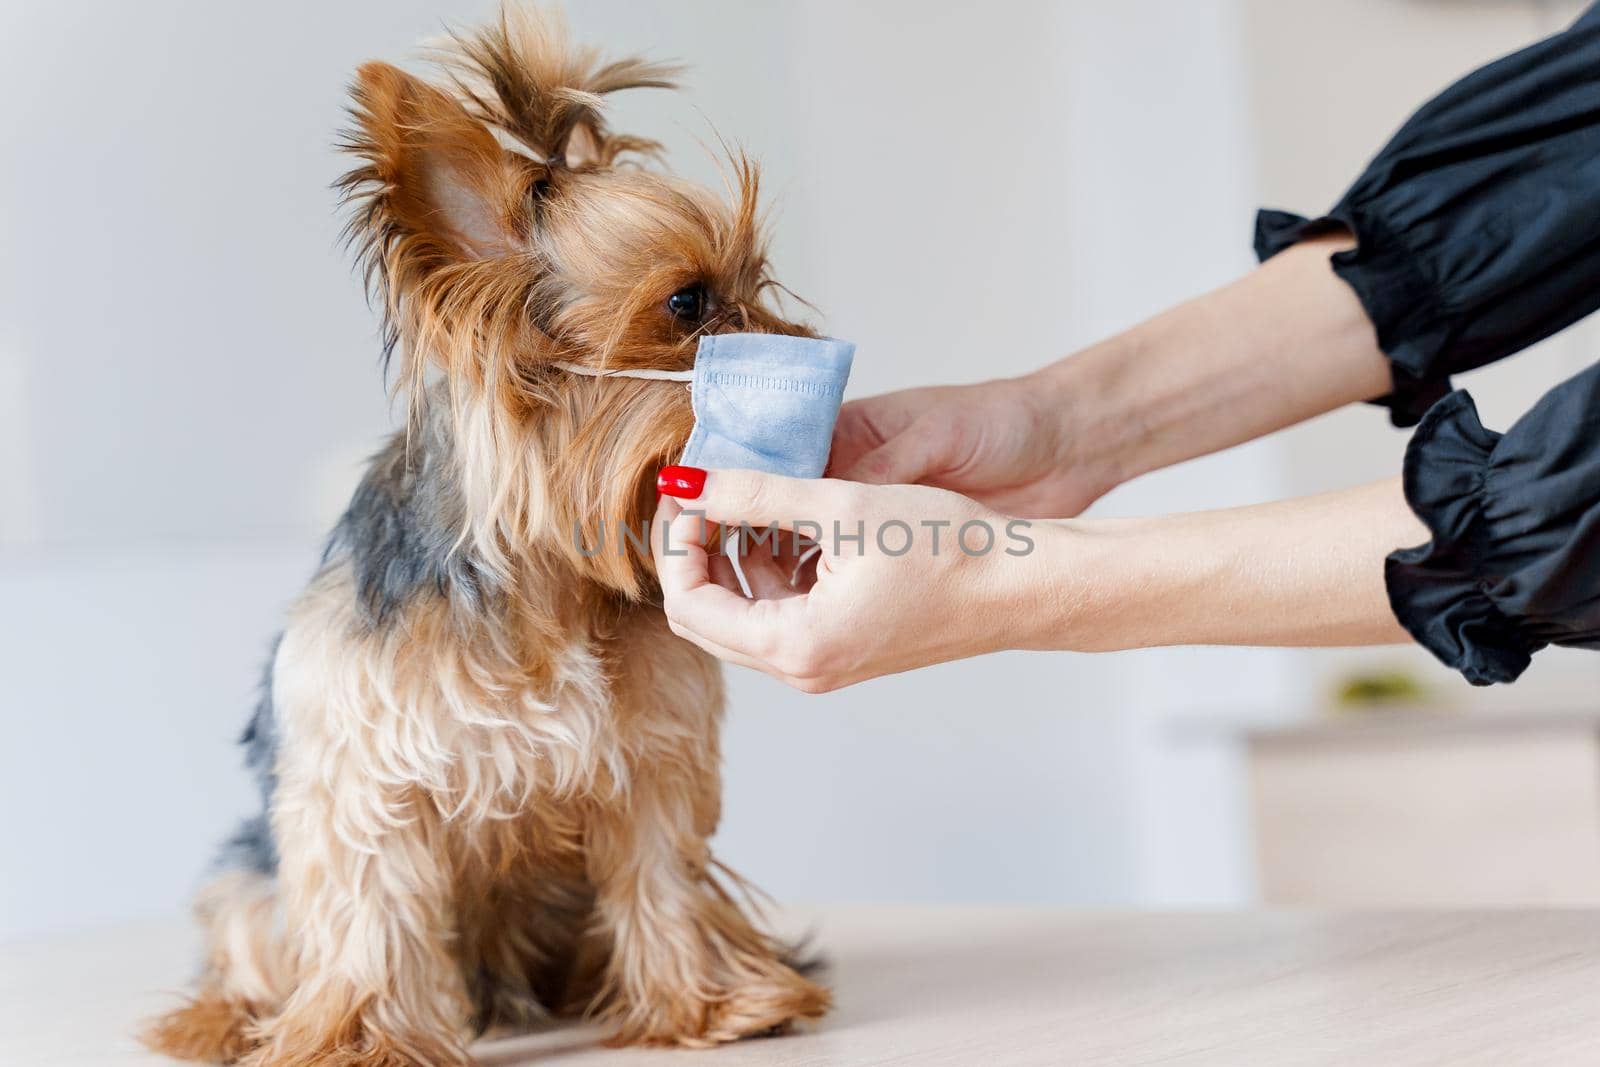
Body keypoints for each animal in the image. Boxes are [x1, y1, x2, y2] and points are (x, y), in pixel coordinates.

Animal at [140, 4, 825, 1062]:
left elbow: (662, 873)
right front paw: (364, 1039)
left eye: (763, 276)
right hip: (249, 880)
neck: (545, 577)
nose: (819, 354)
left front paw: (710, 1002)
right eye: (687, 302)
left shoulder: (652, 759)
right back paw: (222, 1017)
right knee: (246, 930)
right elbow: (374, 900)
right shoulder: (366, 769)